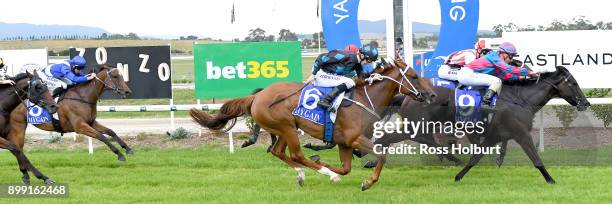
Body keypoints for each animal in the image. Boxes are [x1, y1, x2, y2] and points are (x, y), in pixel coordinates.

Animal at [191, 58, 436, 190]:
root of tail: (256, 97)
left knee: (279, 152)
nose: (432, 95)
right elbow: (381, 155)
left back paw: (303, 173)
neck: (366, 99)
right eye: (414, 76)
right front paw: (367, 182)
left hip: (283, 129)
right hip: (287, 127)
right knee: (296, 154)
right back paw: (323, 173)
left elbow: (346, 167)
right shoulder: (355, 138)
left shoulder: (345, 142)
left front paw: (325, 163)